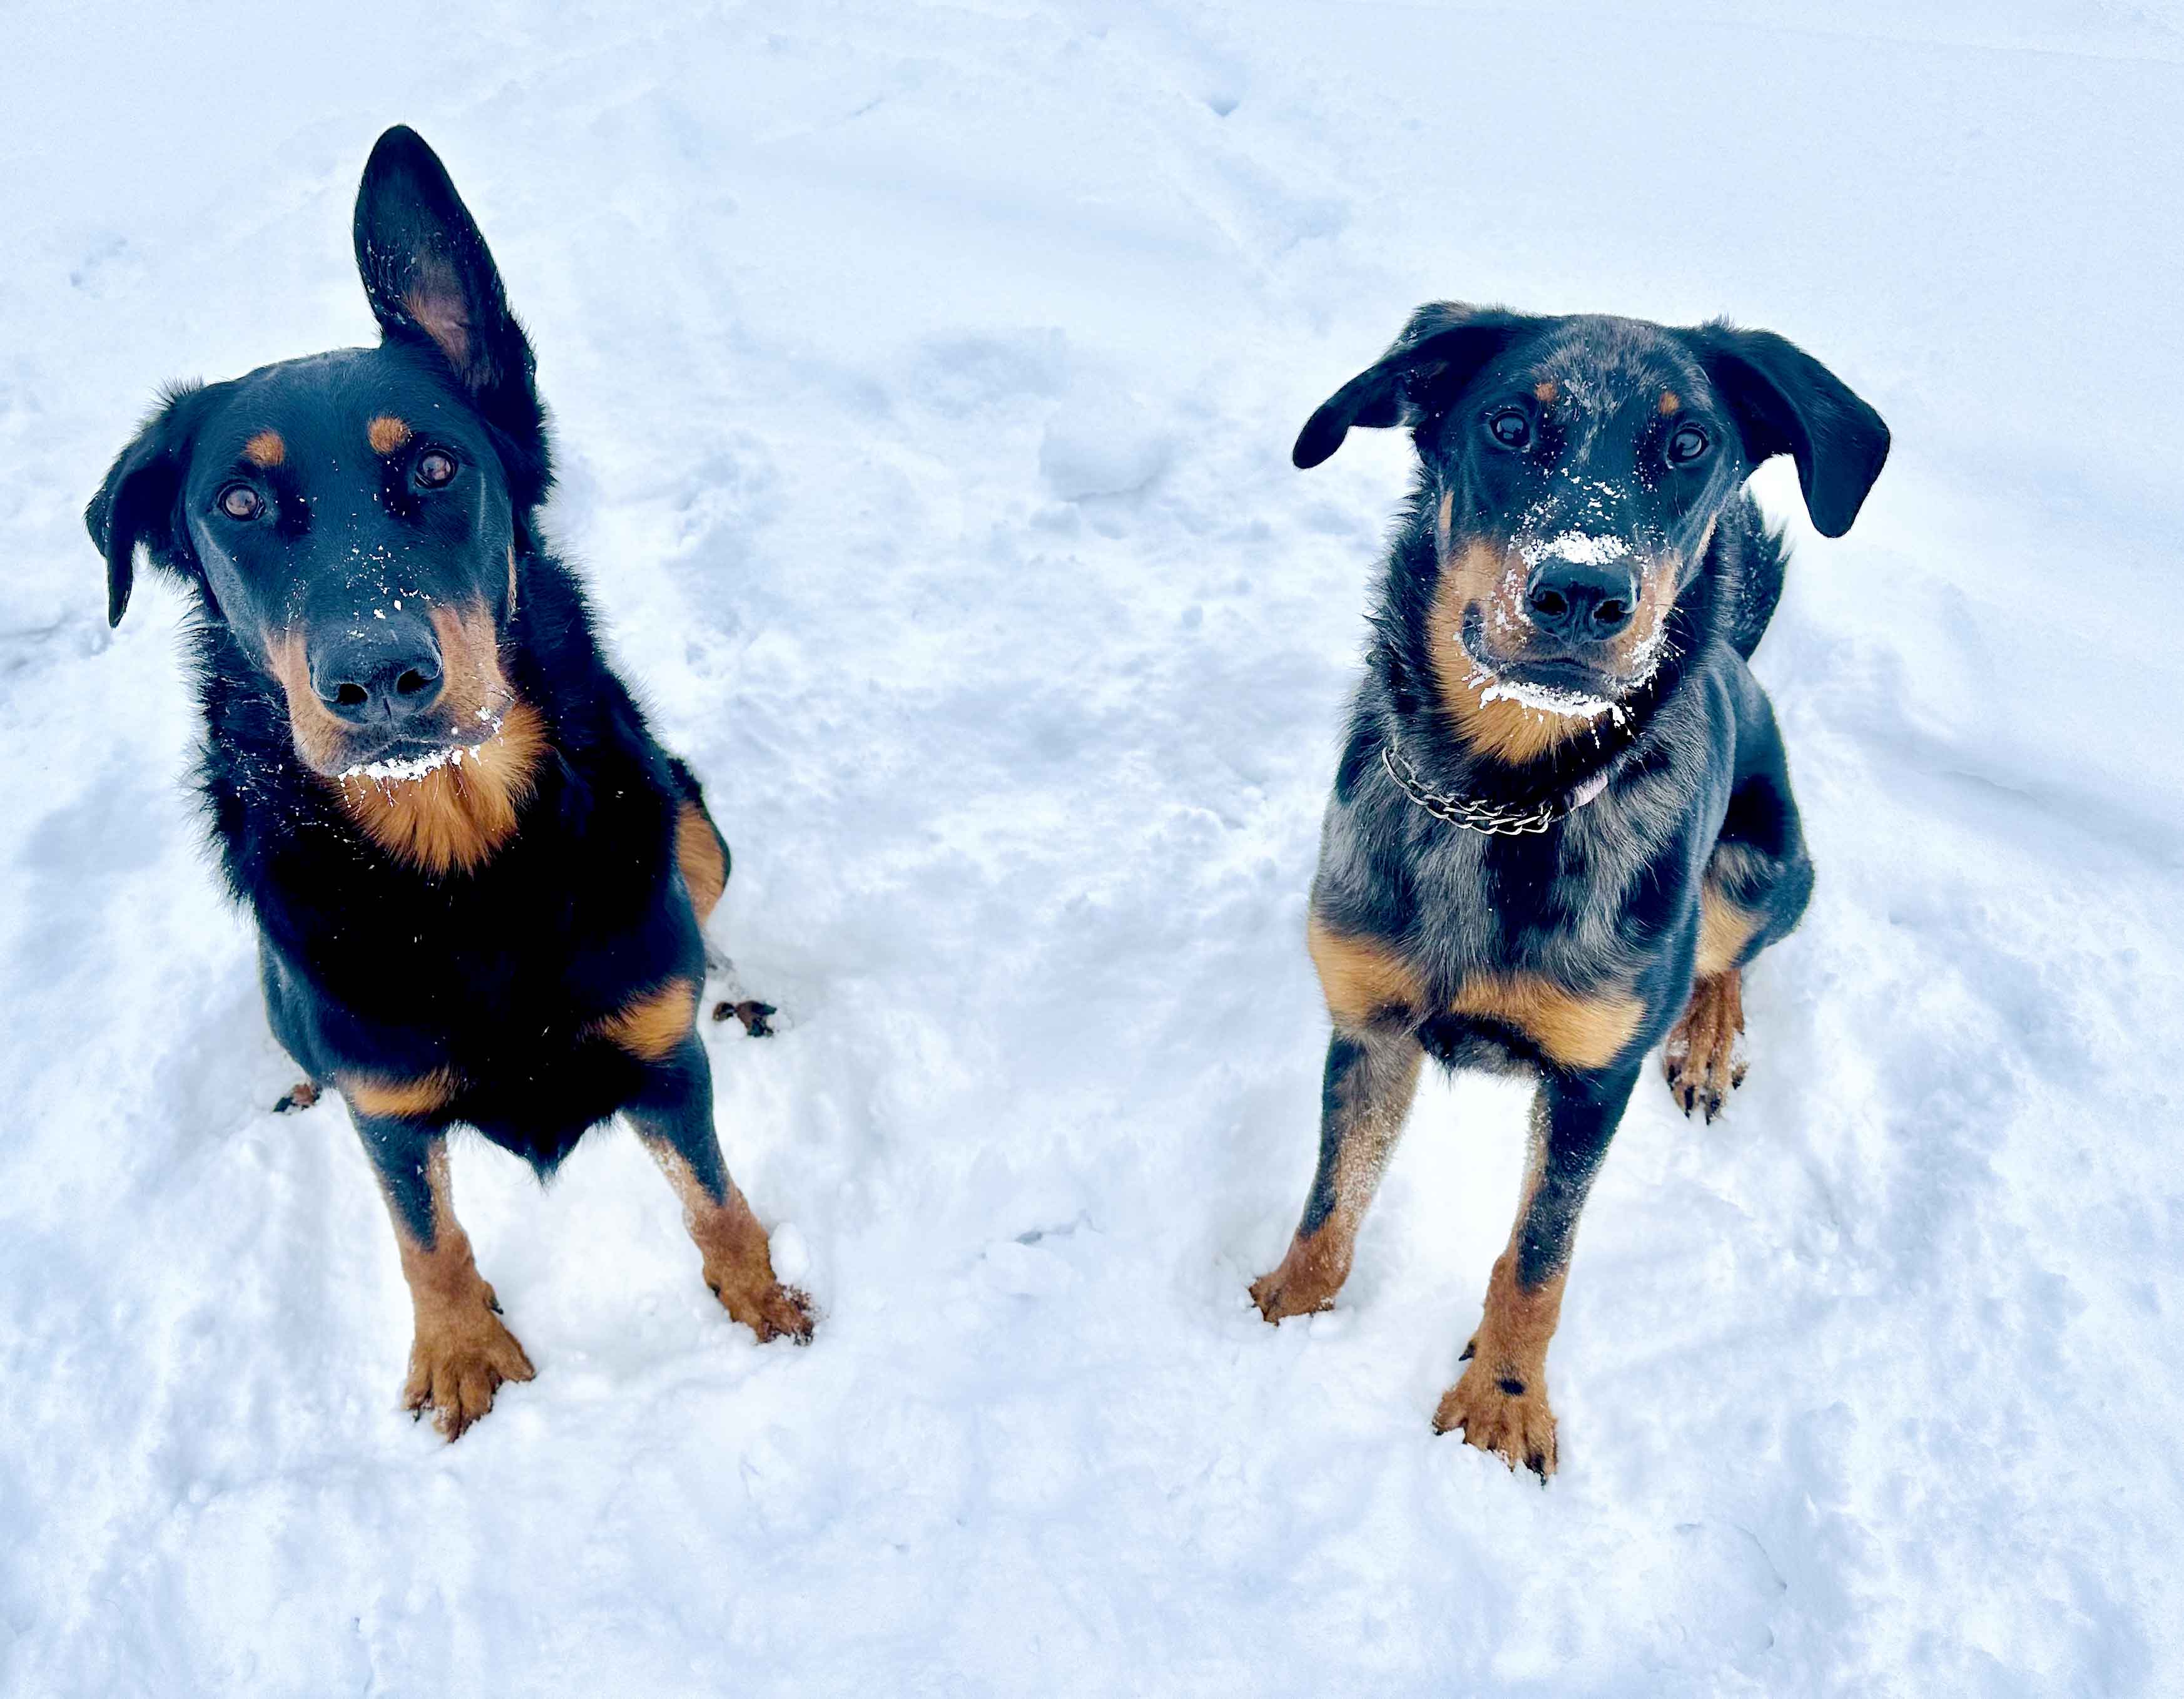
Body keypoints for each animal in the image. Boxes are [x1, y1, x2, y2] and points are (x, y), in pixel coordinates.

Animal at [87, 125, 812, 1432]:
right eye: (237, 502)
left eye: (434, 468)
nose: (378, 678)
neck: (463, 857)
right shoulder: (387, 1106)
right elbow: (423, 1233)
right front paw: (462, 1351)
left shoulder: (661, 1057)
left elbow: (715, 1198)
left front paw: (764, 1302)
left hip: (693, 820)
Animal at [1257, 301, 1887, 1467]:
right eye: (1507, 424)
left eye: (1689, 444)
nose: (1583, 589)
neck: (1503, 798)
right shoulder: (1367, 1022)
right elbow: (1333, 1193)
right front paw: (1286, 1308)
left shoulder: (1595, 1079)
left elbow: (1538, 1258)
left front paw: (1502, 1405)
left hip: (1761, 868)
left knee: (1726, 960)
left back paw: (1706, 1044)